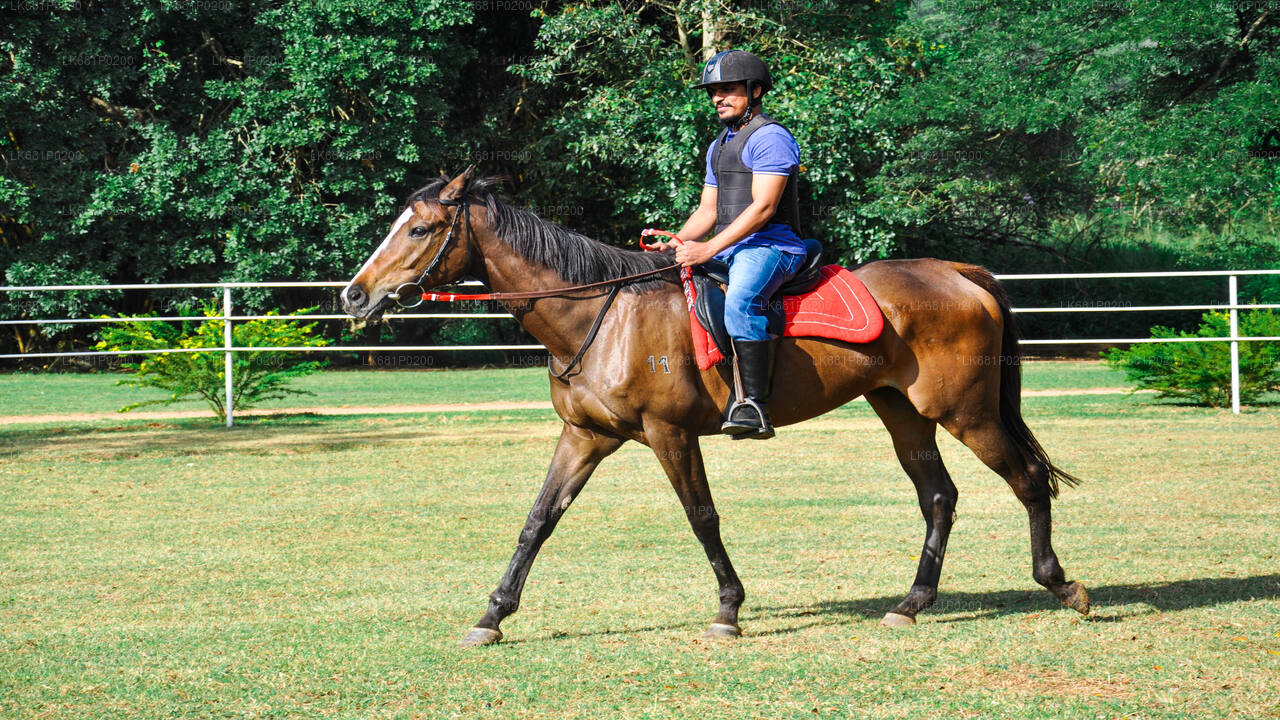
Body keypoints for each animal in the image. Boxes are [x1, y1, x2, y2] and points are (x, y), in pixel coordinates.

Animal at [343, 167, 1090, 645]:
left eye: (421, 230)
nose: (354, 295)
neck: (602, 315)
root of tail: (959, 273)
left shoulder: (669, 434)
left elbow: (702, 518)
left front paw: (729, 611)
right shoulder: (584, 436)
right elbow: (538, 522)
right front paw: (492, 615)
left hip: (968, 414)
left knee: (1027, 482)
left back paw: (1063, 587)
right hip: (902, 412)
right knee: (938, 497)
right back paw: (912, 604)